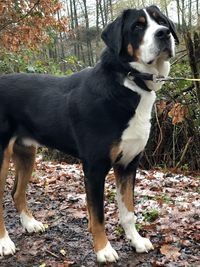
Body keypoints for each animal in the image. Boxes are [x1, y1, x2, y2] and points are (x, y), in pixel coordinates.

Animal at [0, 5, 178, 264]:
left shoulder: (128, 163)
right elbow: (98, 216)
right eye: (137, 26)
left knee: (16, 192)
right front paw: (104, 250)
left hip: (26, 153)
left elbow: (128, 211)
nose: (164, 33)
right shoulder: (95, 167)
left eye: (162, 21)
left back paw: (30, 224)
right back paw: (4, 243)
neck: (128, 82)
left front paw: (136, 241)